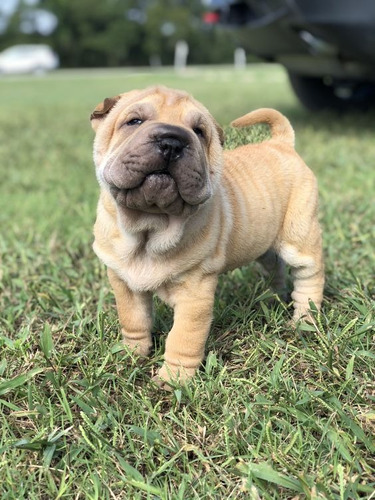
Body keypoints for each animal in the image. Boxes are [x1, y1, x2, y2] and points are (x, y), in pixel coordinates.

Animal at [89, 86, 324, 388]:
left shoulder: (195, 293)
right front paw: (131, 355)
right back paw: (272, 297)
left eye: (199, 131)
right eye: (134, 121)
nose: (172, 141)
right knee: (276, 267)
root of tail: (282, 144)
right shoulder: (123, 282)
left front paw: (173, 380)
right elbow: (133, 320)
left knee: (309, 276)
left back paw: (304, 319)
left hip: (299, 238)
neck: (149, 227)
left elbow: (184, 337)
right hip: (264, 246)